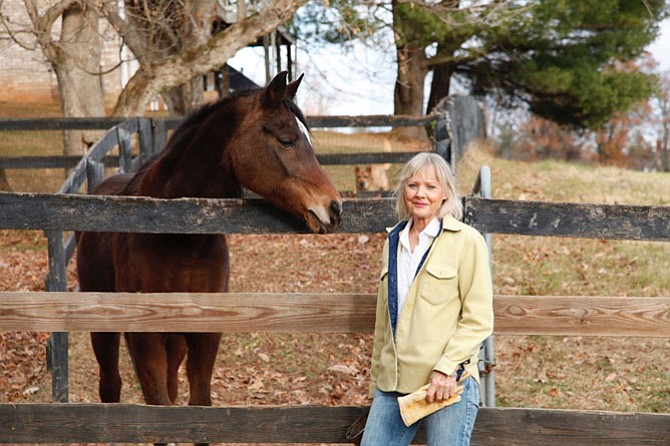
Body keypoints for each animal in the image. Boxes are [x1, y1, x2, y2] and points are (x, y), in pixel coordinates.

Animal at [76, 73, 344, 440]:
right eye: (287, 140)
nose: (334, 208)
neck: (177, 235)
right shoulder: (145, 336)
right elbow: (160, 411)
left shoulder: (205, 333)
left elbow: (198, 409)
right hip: (104, 329)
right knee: (110, 387)